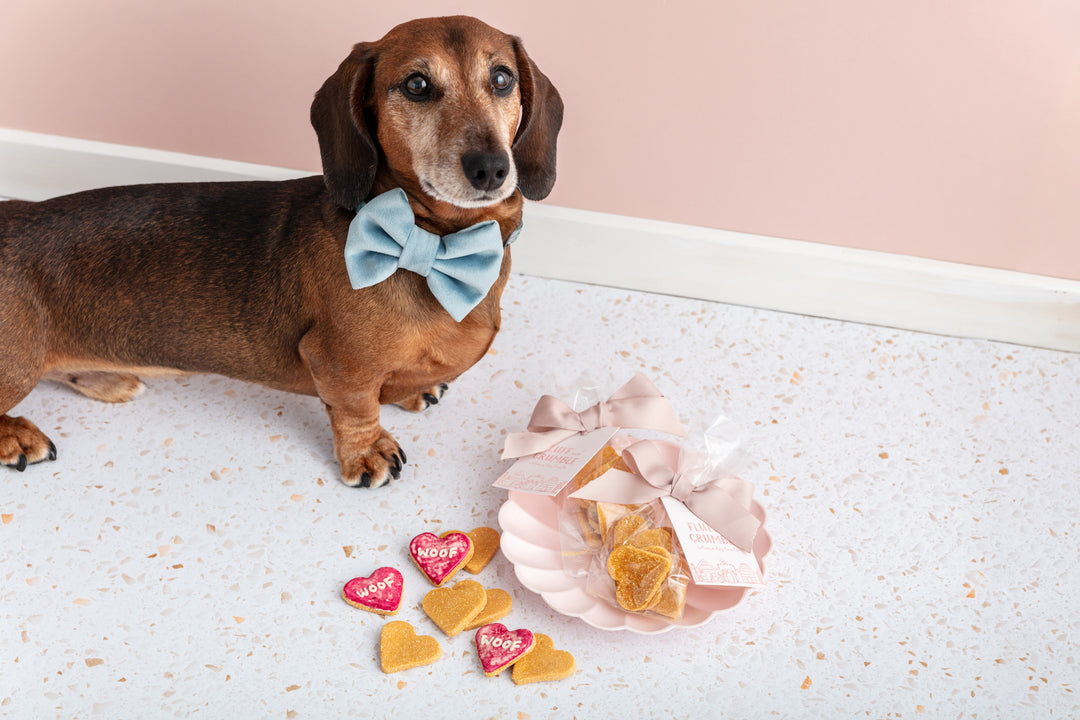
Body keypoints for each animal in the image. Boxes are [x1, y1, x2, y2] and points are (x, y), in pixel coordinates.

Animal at [2, 16, 565, 487]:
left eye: (501, 78)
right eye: (417, 85)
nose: (491, 167)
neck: (433, 243)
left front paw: (412, 389)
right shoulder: (336, 364)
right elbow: (357, 408)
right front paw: (366, 454)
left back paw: (107, 377)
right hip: (20, 363)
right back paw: (18, 436)